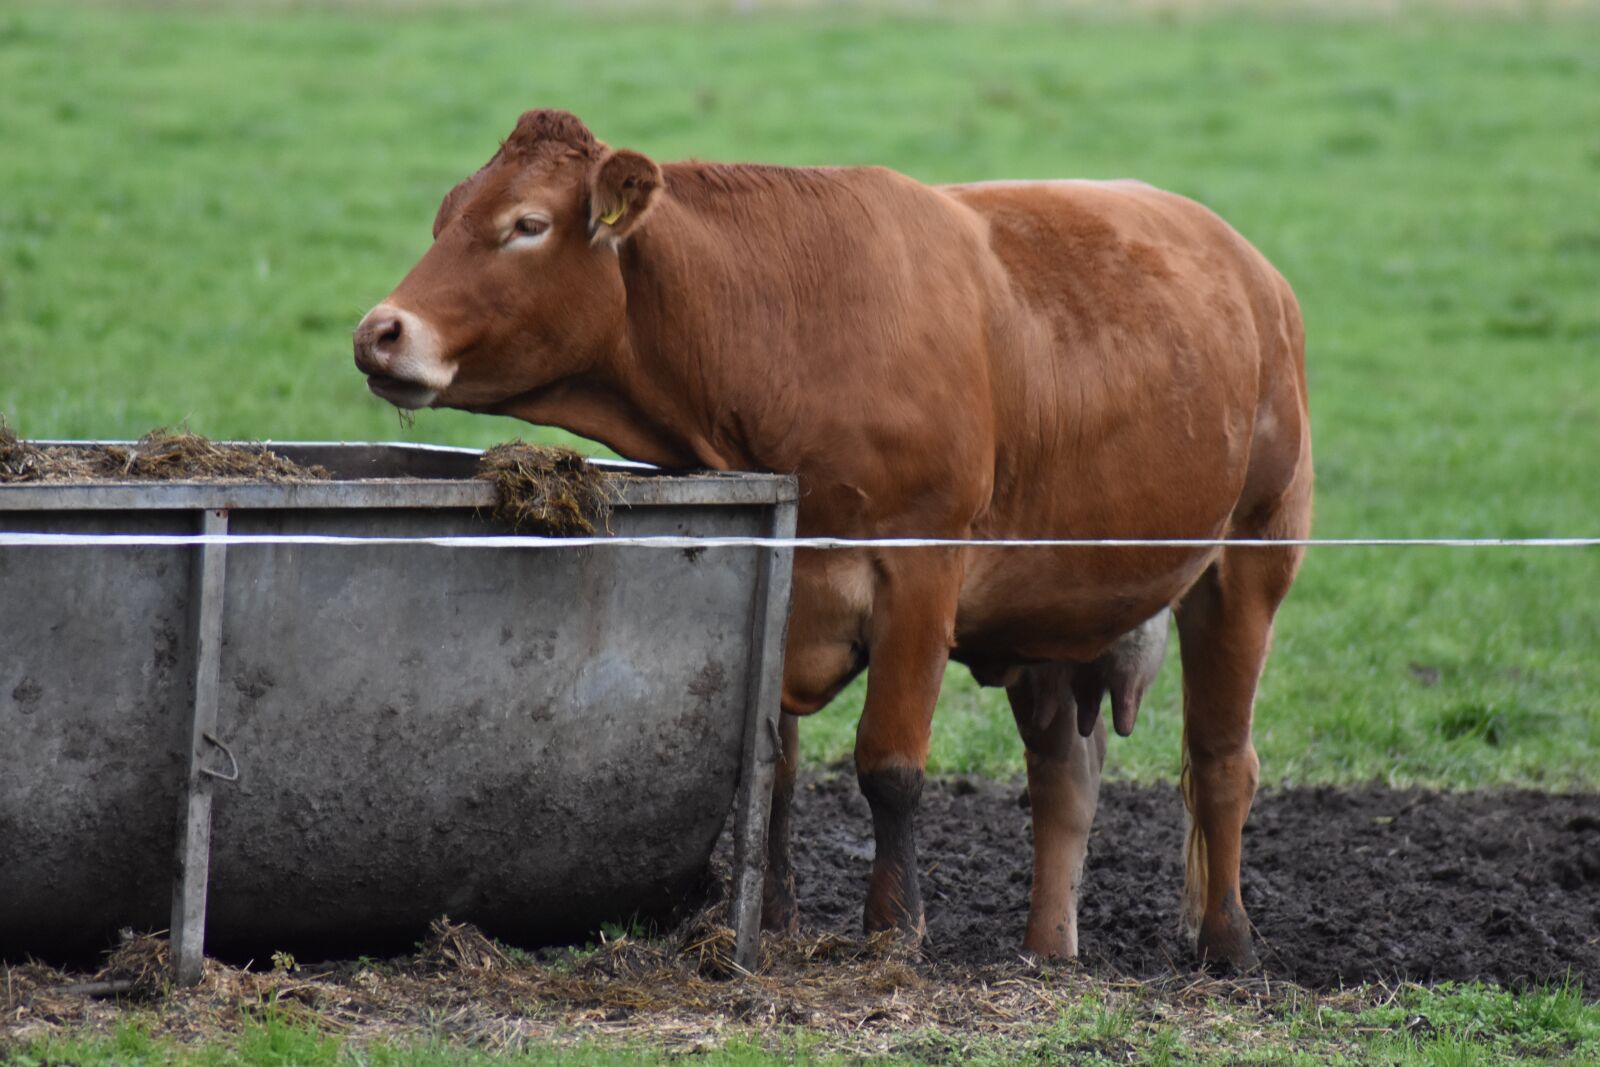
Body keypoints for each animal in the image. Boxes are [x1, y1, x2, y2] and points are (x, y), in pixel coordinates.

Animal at [353, 109, 1312, 969]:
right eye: (445, 217)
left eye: (526, 225)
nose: (379, 331)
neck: (791, 329)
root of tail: (1253, 270)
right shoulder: (783, 574)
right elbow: (770, 767)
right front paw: (774, 920)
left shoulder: (923, 572)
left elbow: (889, 764)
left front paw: (893, 930)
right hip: (1053, 608)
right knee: (1064, 779)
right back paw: (1047, 953)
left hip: (1252, 560)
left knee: (1222, 759)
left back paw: (1229, 945)